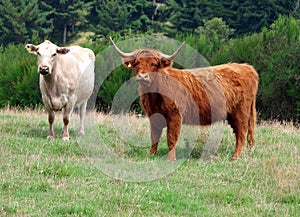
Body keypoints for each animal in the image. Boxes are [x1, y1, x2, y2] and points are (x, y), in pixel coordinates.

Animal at [110, 37, 258, 160]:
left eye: (154, 64)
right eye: (136, 63)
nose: (143, 77)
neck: (154, 95)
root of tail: (247, 67)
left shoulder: (175, 115)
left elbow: (171, 138)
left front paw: (171, 158)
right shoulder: (153, 115)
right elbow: (154, 136)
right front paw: (152, 154)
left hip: (240, 111)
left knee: (241, 132)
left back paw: (235, 156)